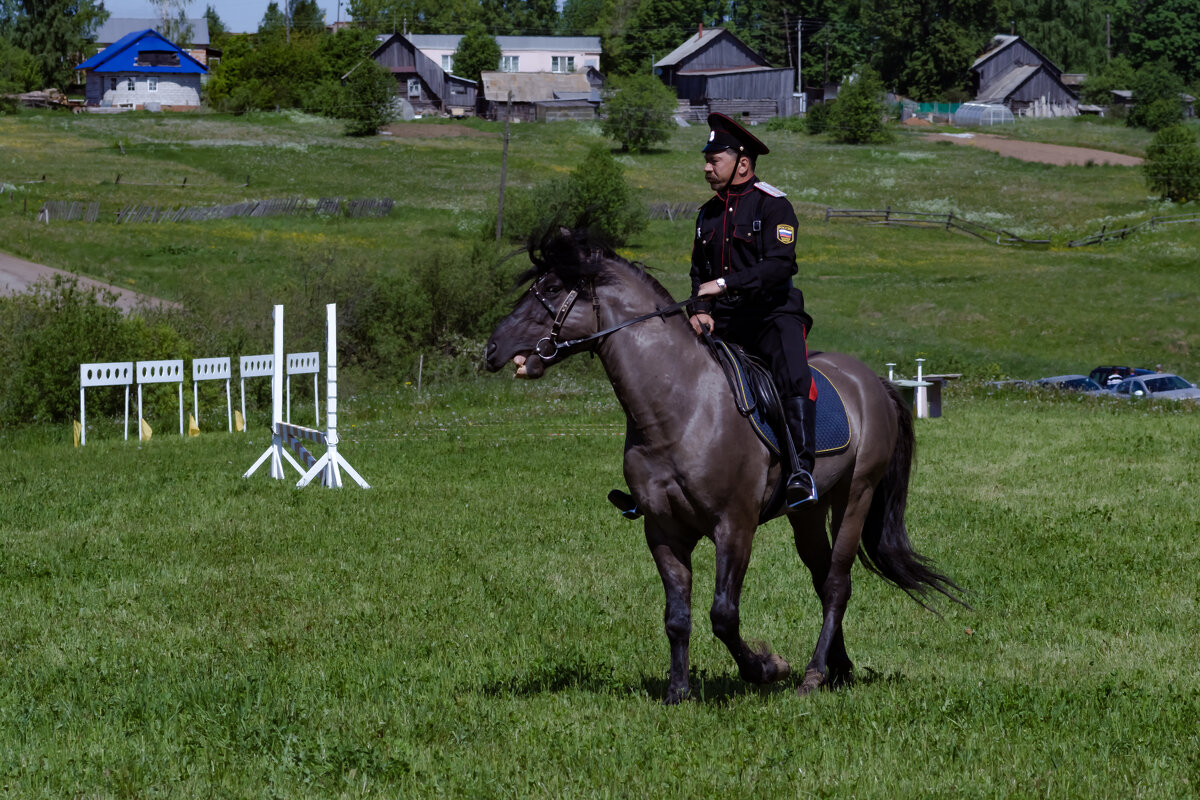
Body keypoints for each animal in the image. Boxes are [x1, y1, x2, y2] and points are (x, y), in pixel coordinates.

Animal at [482, 230, 960, 700]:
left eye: (551, 289)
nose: (491, 349)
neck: (679, 407)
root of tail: (870, 380)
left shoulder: (734, 526)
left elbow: (723, 615)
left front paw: (767, 668)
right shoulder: (663, 529)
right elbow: (677, 616)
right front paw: (678, 692)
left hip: (855, 496)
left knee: (838, 583)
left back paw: (811, 675)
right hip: (807, 512)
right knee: (822, 578)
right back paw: (835, 670)